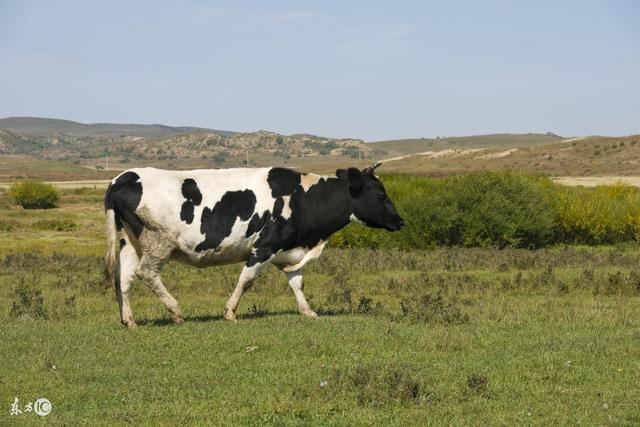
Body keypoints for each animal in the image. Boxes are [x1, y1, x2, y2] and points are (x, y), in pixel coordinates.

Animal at [105, 163, 404, 328]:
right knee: (147, 273)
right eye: (380, 193)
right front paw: (230, 312)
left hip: (130, 242)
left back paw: (128, 319)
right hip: (159, 242)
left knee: (124, 279)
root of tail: (122, 177)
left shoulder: (287, 249)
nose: (400, 222)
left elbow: (297, 282)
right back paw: (176, 311)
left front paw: (307, 311)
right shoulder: (264, 247)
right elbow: (246, 280)